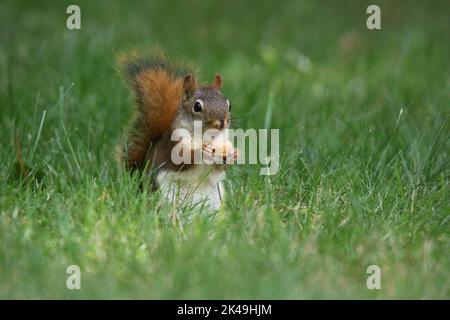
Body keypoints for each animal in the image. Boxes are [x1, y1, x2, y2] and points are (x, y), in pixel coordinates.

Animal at [119, 48, 239, 210]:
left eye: (229, 105)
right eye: (197, 106)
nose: (221, 123)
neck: (205, 136)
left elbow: (220, 167)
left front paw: (233, 154)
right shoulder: (174, 141)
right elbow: (182, 159)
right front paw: (202, 151)